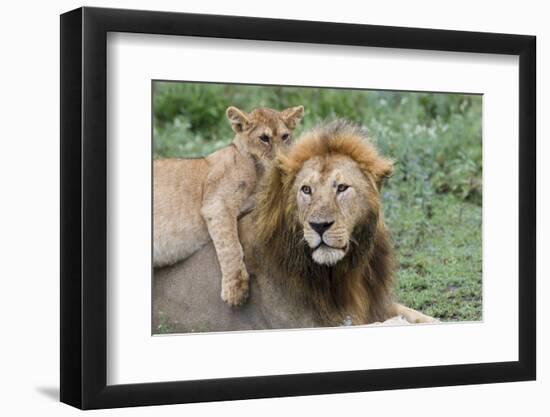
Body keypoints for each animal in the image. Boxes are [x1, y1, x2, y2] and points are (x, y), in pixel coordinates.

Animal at [153, 120, 438, 332]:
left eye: (342, 187)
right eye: (306, 190)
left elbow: (420, 316)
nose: (319, 226)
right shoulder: (300, 322)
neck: (344, 271)